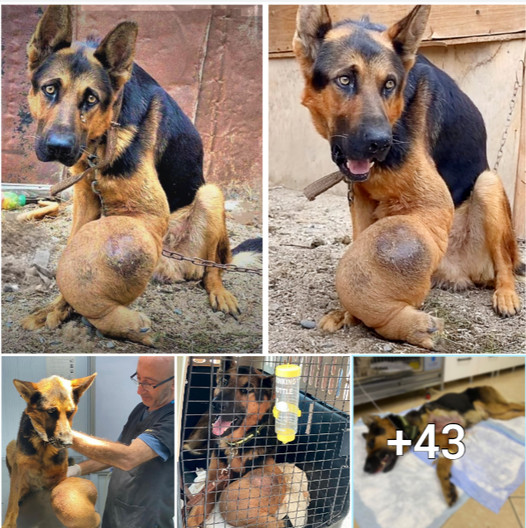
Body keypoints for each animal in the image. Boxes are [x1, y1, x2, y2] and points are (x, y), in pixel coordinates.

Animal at [3, 374, 98, 524]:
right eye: (51, 411)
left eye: (71, 412)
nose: (68, 443)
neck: (43, 444)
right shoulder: (19, 467)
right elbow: (12, 499)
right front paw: (9, 522)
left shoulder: (61, 478)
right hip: (11, 446)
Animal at [183, 358, 288, 528]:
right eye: (225, 381)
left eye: (247, 389)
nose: (216, 404)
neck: (237, 444)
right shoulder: (213, 481)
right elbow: (198, 509)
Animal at [366, 388, 524, 508]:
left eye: (371, 442)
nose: (365, 469)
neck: (412, 427)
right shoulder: (450, 443)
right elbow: (442, 463)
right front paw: (448, 485)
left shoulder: (452, 437)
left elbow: (440, 466)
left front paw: (447, 489)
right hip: (497, 415)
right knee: (513, 412)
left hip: (495, 407)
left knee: (514, 404)